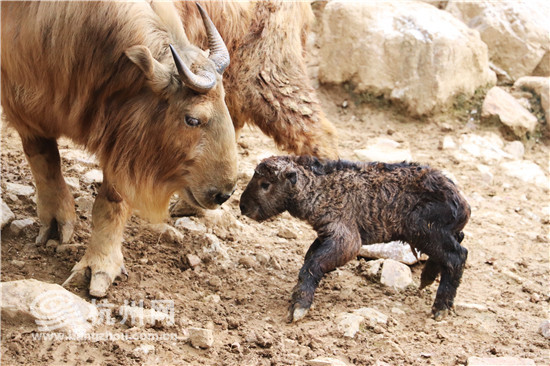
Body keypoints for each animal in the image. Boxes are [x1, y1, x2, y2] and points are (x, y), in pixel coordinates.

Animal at [239, 156, 472, 322]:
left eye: (265, 184)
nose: (242, 206)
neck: (321, 189)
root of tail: (463, 204)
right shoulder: (326, 234)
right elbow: (310, 257)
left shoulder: (347, 239)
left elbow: (312, 264)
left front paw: (299, 306)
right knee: (457, 242)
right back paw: (428, 277)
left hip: (423, 228)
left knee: (457, 256)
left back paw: (441, 307)